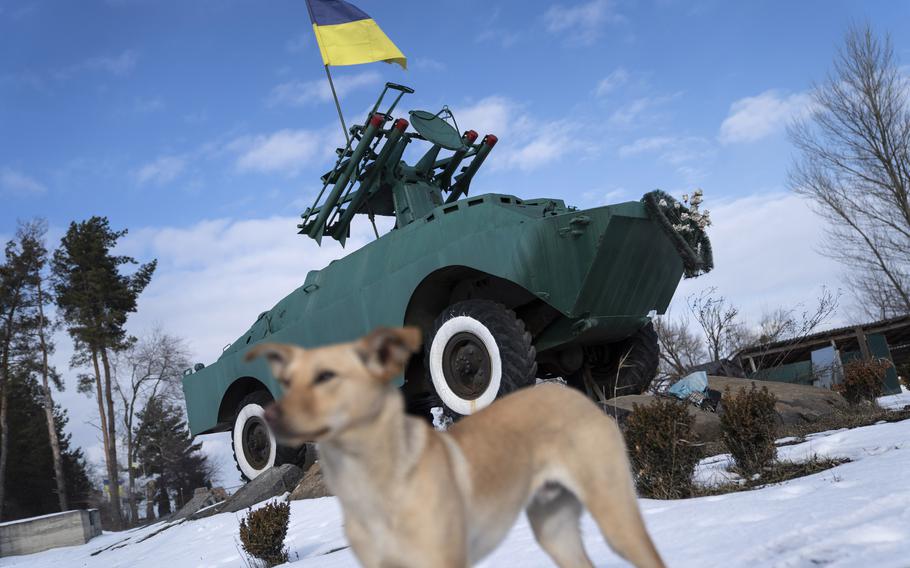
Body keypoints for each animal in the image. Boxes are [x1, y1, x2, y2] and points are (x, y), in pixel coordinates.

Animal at [246, 328, 668, 568]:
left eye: (325, 376)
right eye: (286, 382)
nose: (268, 416)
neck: (370, 481)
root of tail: (572, 394)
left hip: (615, 515)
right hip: (555, 531)